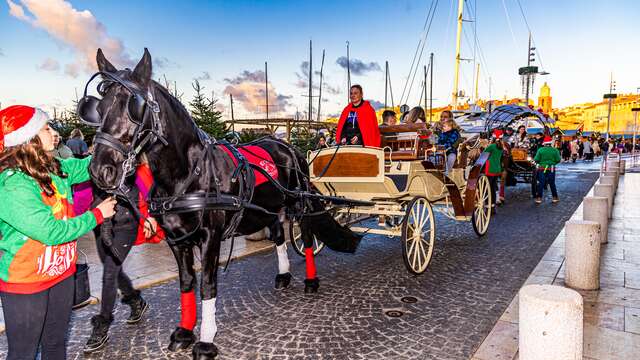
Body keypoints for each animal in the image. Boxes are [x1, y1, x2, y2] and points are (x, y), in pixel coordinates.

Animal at [84, 48, 360, 360]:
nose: (100, 170)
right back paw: (283, 275)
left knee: (309, 237)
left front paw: (205, 342)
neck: (187, 174)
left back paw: (311, 281)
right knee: (278, 235)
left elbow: (207, 285)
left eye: (135, 107)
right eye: (99, 108)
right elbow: (187, 282)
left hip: (298, 204)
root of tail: (289, 147)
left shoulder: (211, 237)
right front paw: (184, 332)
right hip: (268, 208)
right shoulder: (176, 239)